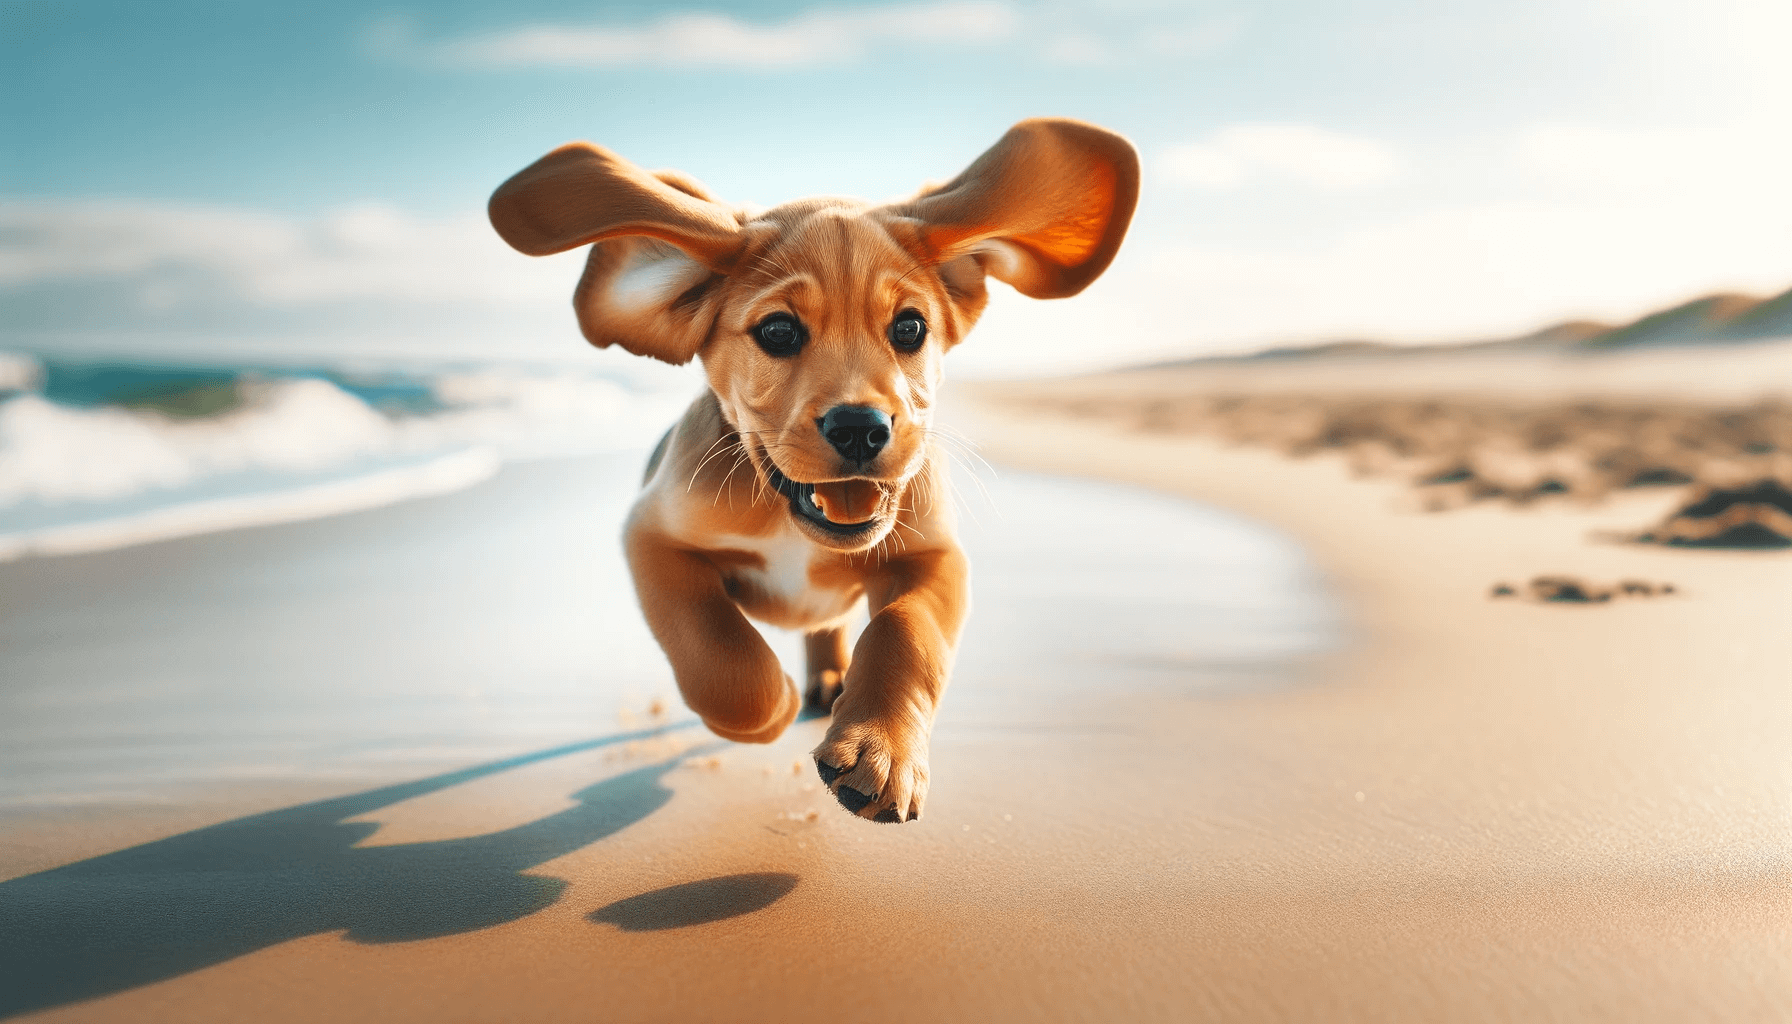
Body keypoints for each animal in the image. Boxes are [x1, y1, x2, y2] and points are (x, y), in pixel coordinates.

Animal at [491, 118, 1132, 824]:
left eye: (910, 327)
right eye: (778, 331)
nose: (860, 427)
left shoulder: (933, 554)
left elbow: (906, 633)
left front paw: (882, 753)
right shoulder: (651, 537)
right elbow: (717, 652)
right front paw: (771, 709)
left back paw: (830, 681)